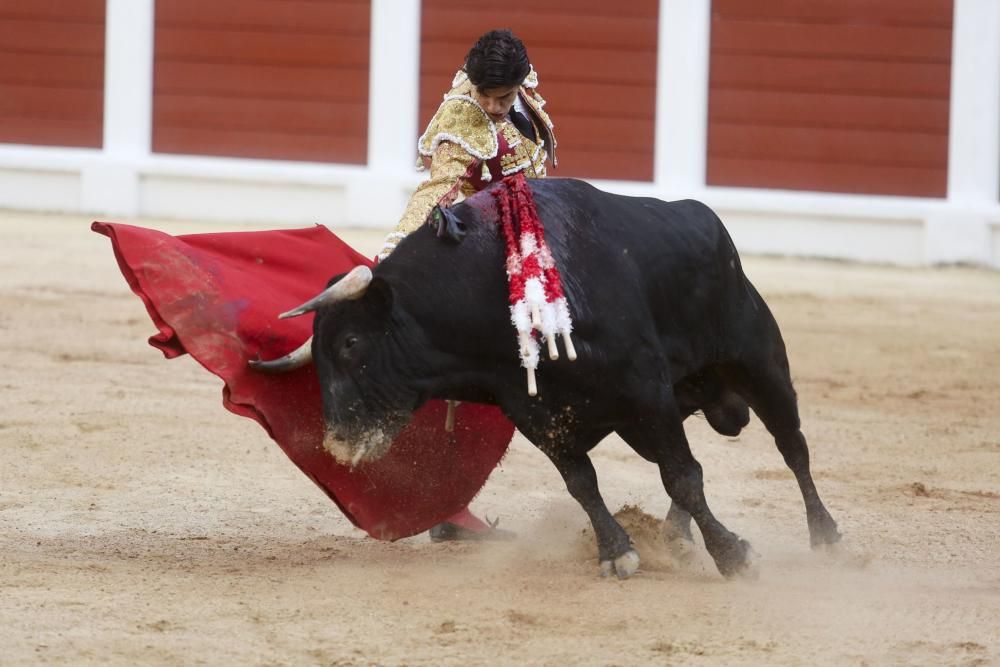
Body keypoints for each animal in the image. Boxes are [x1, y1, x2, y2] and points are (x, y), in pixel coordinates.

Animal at [256, 177, 836, 580]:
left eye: (351, 344)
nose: (338, 443)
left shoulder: (645, 388)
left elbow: (683, 476)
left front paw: (734, 556)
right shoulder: (538, 414)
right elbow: (584, 482)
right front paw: (618, 553)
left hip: (759, 362)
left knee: (791, 447)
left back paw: (826, 537)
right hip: (664, 410)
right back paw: (673, 537)